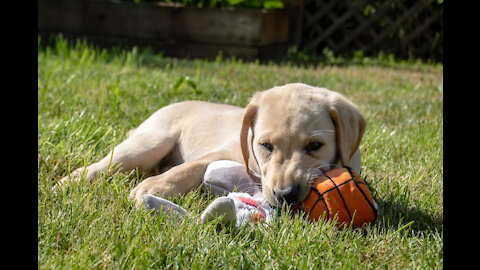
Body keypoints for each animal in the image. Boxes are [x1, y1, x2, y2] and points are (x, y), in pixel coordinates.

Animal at [57, 83, 364, 206]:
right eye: (265, 145)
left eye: (314, 146)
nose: (285, 195)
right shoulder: (222, 151)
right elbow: (189, 168)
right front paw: (155, 187)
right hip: (148, 144)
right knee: (103, 164)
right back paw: (69, 182)